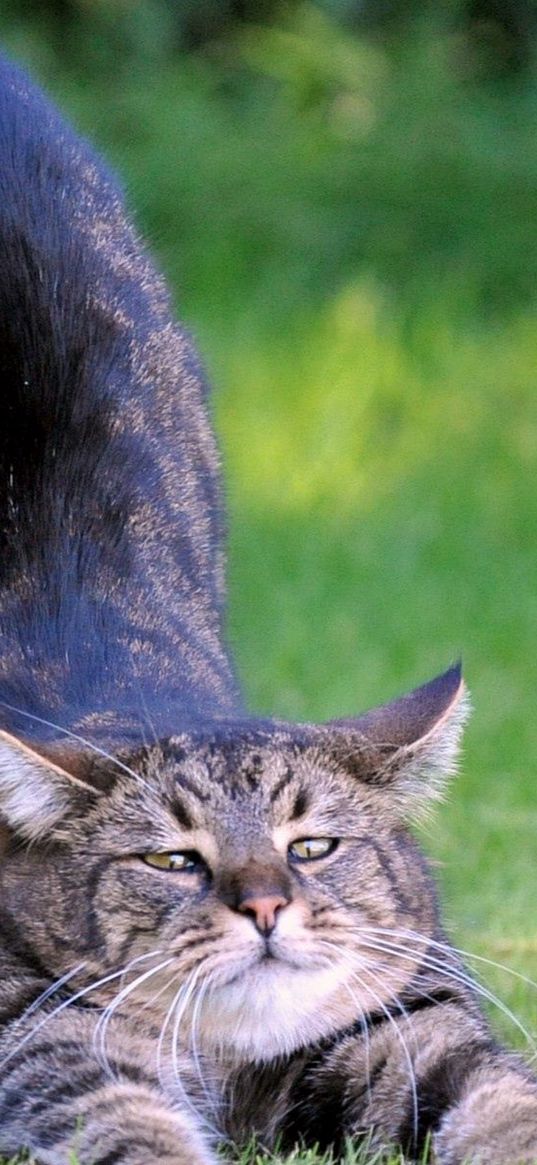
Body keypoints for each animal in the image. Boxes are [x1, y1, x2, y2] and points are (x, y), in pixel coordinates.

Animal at [1, 54, 535, 1165]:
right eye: (172, 858)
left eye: (312, 847)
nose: (265, 906)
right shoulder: (38, 1030)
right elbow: (123, 1118)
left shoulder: (407, 1015)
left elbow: (502, 1092)